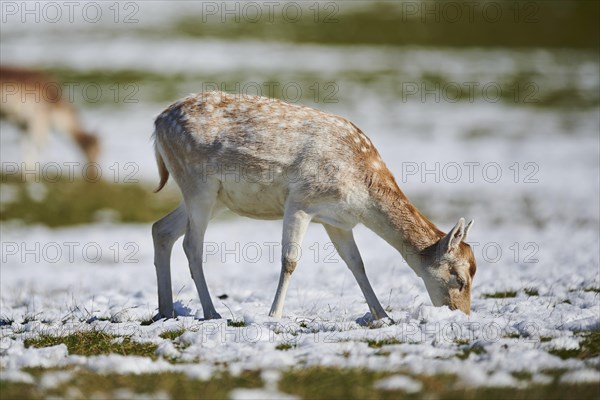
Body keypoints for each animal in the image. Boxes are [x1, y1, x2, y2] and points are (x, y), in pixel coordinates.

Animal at [152, 91, 476, 322]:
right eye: (459, 278)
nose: (461, 315)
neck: (362, 192)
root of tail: (157, 123)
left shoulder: (338, 222)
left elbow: (357, 264)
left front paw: (383, 316)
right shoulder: (301, 201)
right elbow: (290, 261)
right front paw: (274, 316)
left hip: (216, 198)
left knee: (162, 229)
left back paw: (166, 310)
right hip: (198, 186)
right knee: (192, 245)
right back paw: (210, 312)